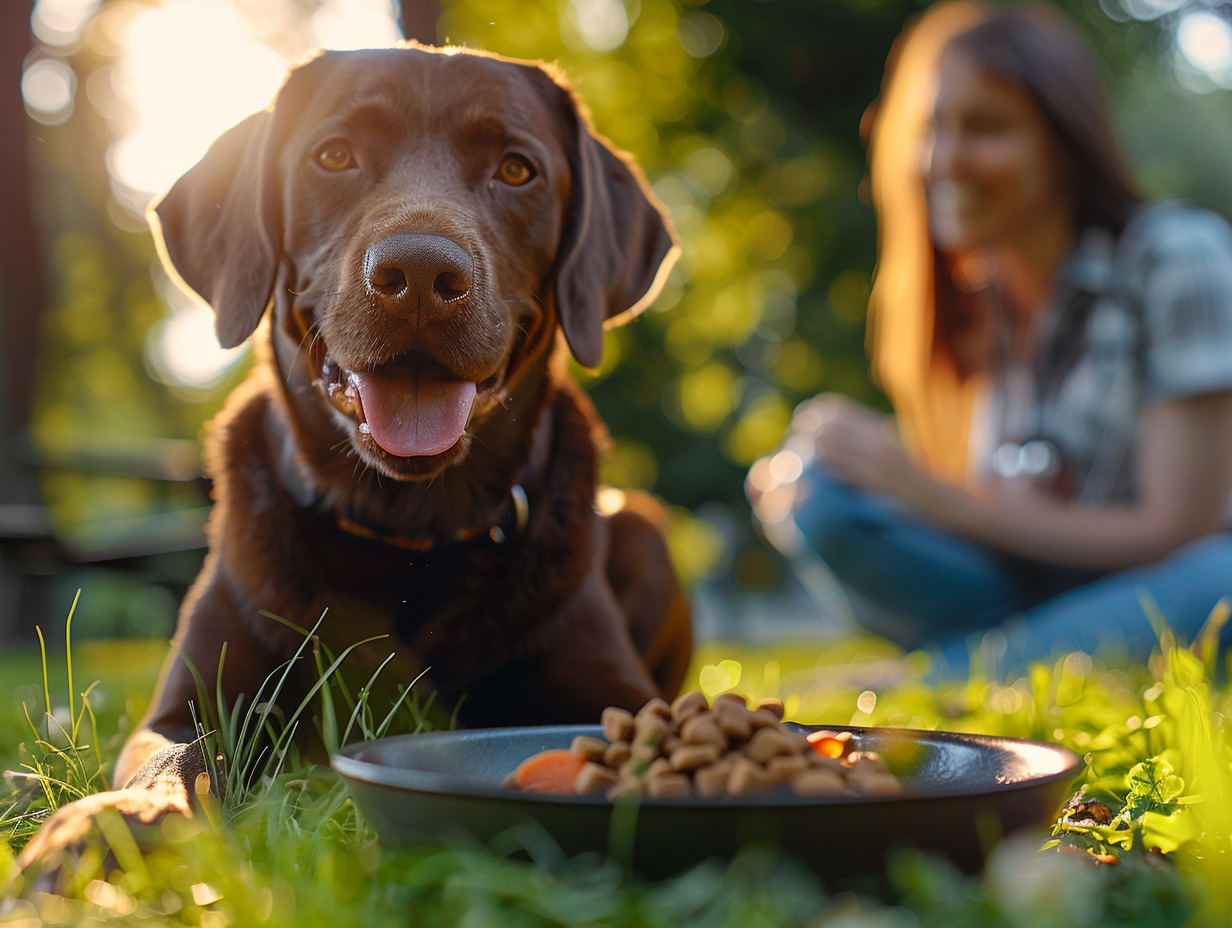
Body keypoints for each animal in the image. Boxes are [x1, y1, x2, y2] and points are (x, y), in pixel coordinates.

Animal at [19, 43, 689, 867]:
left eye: (517, 169)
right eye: (334, 156)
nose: (422, 275)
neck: (407, 529)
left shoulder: (612, 690)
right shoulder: (190, 701)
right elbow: (169, 761)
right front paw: (97, 829)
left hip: (643, 525)